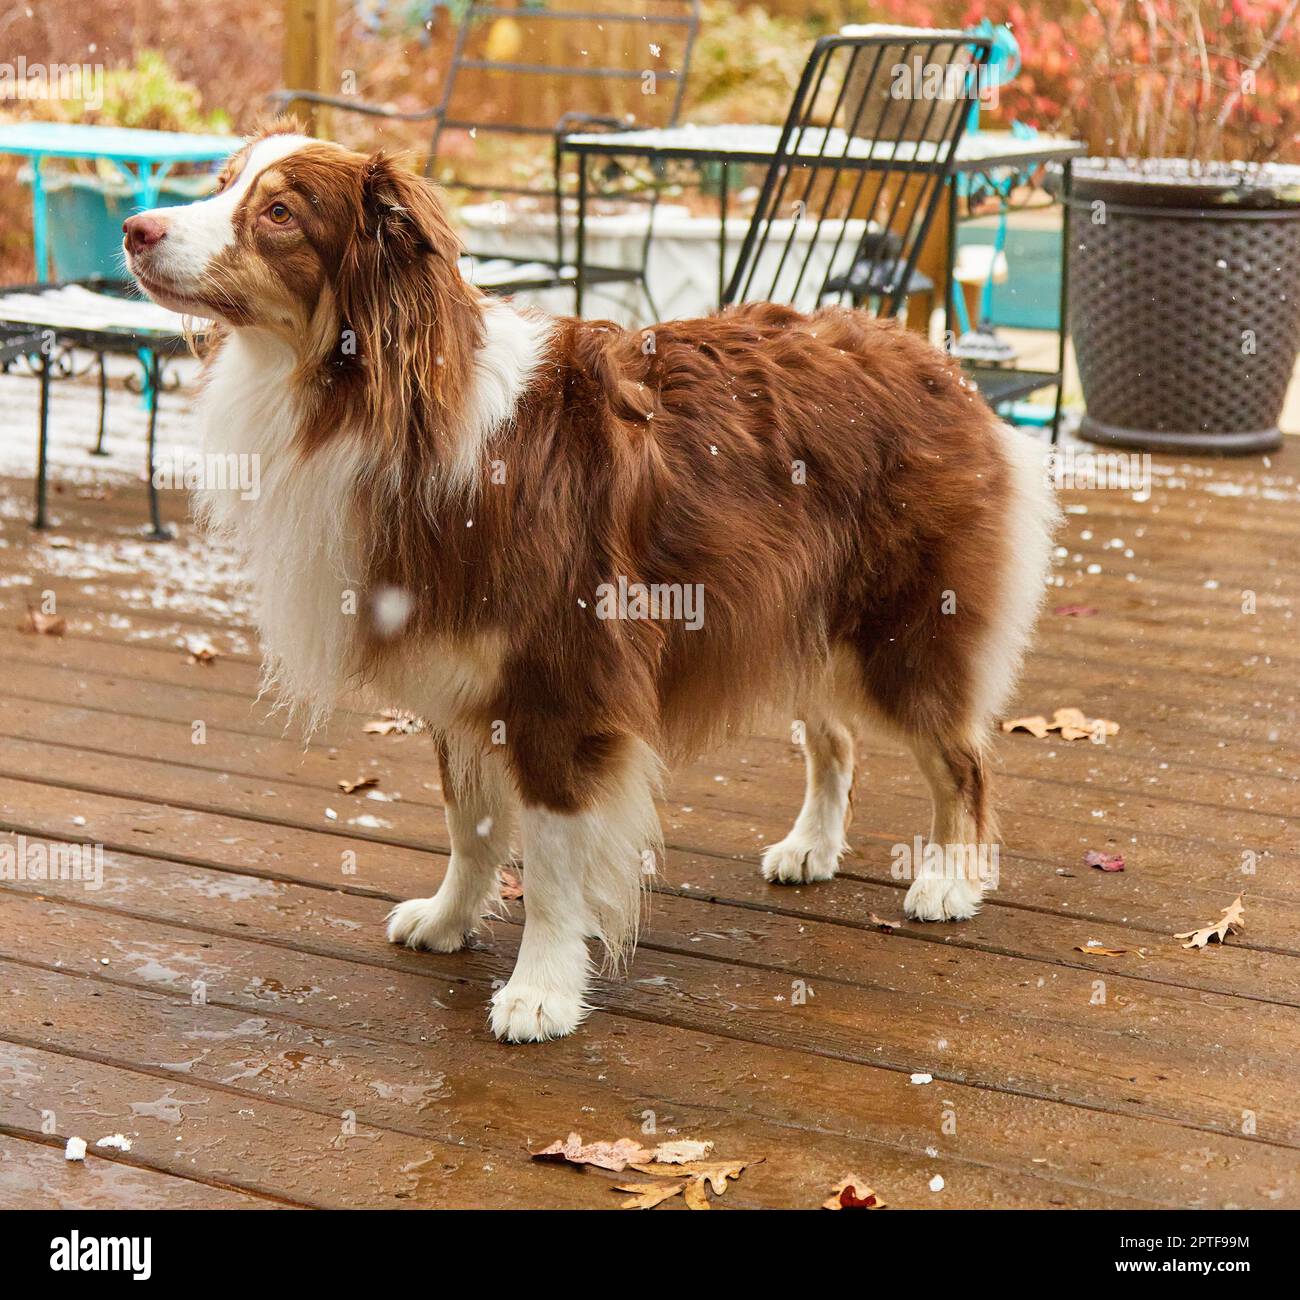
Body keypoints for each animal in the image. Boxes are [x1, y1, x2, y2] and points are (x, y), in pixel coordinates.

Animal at [119, 129, 1055, 1045]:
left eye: (278, 212)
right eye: (222, 183)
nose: (134, 228)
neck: (383, 402)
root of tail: (934, 358)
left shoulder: (564, 685)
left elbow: (553, 863)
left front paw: (541, 992)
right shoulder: (461, 676)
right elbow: (470, 826)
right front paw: (450, 919)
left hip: (903, 631)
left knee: (961, 760)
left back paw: (951, 879)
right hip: (797, 610)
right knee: (835, 741)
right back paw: (810, 847)